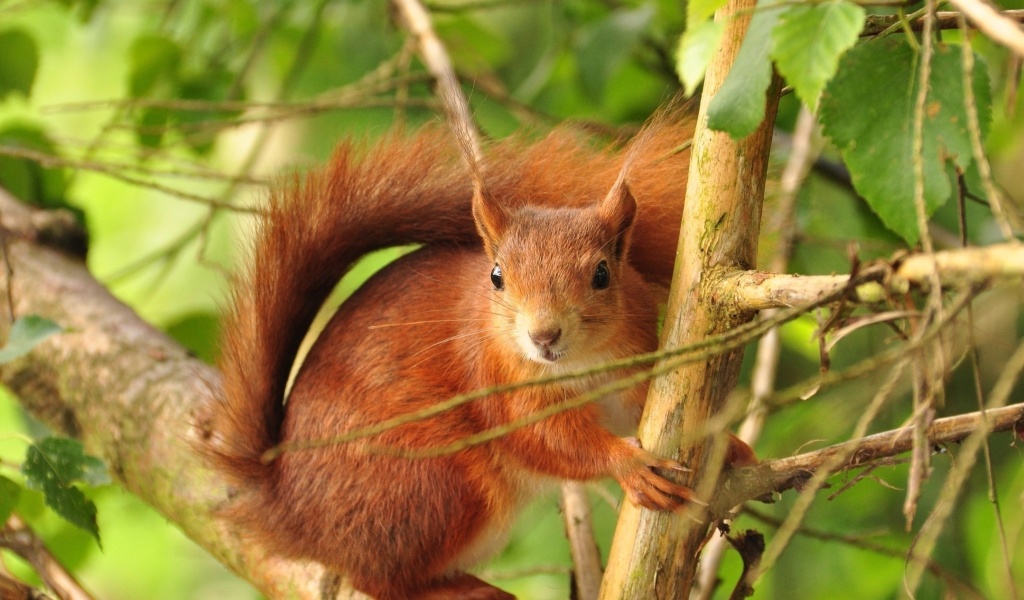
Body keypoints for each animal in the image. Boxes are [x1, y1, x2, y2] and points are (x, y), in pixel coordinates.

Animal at [205, 116, 753, 597]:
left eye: (602, 274)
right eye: (496, 276)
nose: (543, 335)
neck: (578, 363)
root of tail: (288, 511)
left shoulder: (633, 362)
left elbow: (645, 407)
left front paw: (725, 443)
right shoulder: (495, 379)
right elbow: (545, 438)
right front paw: (629, 465)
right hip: (436, 484)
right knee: (378, 581)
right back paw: (461, 589)